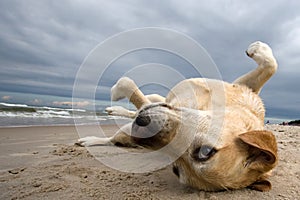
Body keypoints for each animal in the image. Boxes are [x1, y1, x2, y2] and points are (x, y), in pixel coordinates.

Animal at [78, 41, 278, 191]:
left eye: (176, 169)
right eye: (206, 152)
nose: (141, 126)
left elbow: (134, 93)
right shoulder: (243, 87)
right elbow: (271, 66)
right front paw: (257, 49)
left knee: (117, 134)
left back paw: (91, 140)